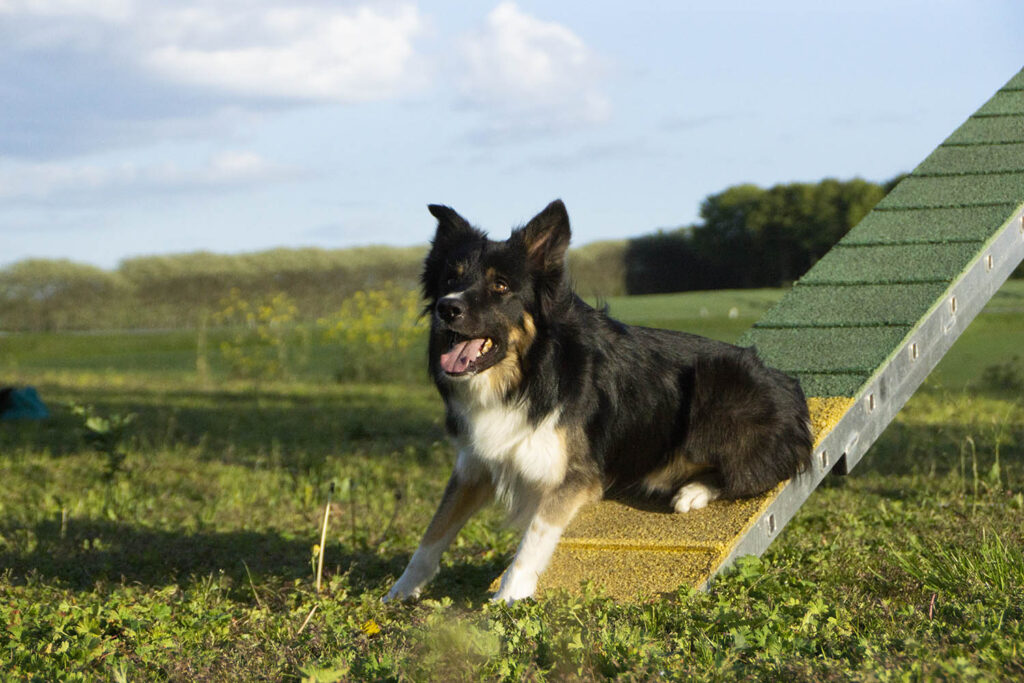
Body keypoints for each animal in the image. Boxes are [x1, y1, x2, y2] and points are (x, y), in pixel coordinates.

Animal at [384, 200, 812, 604]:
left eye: (501, 286)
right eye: (450, 278)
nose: (447, 307)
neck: (529, 372)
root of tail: (789, 386)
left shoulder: (573, 474)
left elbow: (536, 534)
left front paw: (509, 594)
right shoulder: (474, 464)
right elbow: (433, 531)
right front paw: (400, 590)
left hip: (716, 390)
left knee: (758, 471)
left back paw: (693, 491)